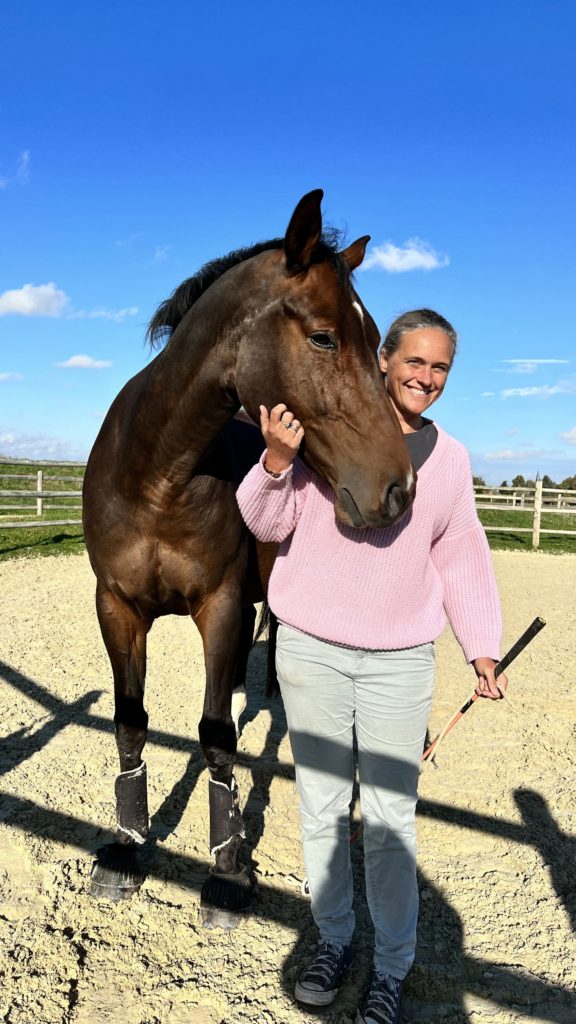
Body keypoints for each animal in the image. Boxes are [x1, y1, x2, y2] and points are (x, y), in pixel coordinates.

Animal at [81, 188, 412, 925]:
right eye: (324, 336)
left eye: (377, 339)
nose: (399, 489)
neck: (158, 475)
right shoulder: (117, 607)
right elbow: (129, 722)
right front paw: (125, 848)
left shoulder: (223, 605)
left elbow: (214, 737)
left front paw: (227, 872)